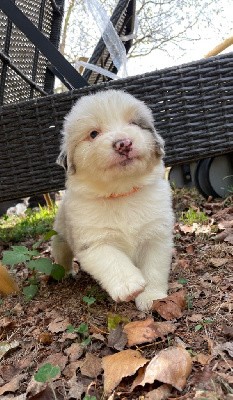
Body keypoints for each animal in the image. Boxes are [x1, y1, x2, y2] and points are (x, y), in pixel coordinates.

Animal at [52, 90, 174, 312]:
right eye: (93, 134)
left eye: (133, 123)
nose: (123, 143)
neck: (121, 193)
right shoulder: (93, 242)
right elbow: (113, 260)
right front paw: (129, 286)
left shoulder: (156, 236)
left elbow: (153, 268)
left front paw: (151, 296)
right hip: (60, 239)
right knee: (62, 257)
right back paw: (66, 274)